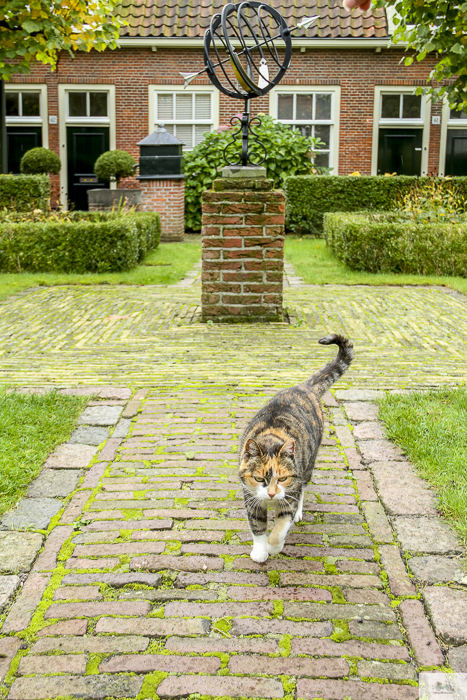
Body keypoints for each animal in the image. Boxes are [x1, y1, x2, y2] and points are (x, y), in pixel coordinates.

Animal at [239, 334, 352, 564]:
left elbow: (280, 528)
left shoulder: (289, 496)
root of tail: (304, 387)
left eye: (282, 478)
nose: (271, 494)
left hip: (307, 467)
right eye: (258, 478)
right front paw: (260, 551)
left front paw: (272, 547)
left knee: (303, 489)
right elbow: (257, 527)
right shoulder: (251, 498)